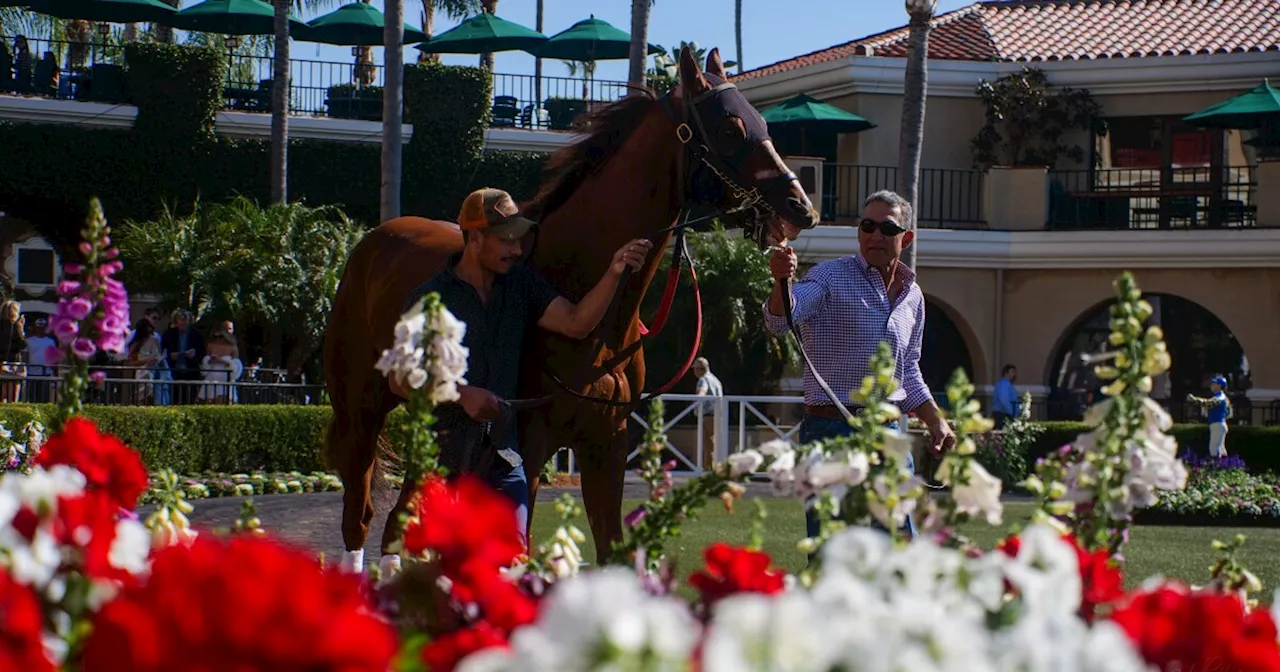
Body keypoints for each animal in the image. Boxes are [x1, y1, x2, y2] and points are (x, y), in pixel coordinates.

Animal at [322, 45, 819, 565]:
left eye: (762, 122)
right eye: (729, 129)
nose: (800, 207)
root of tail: (374, 242)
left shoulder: (607, 446)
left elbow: (611, 547)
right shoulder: (526, 448)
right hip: (362, 410)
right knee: (360, 517)